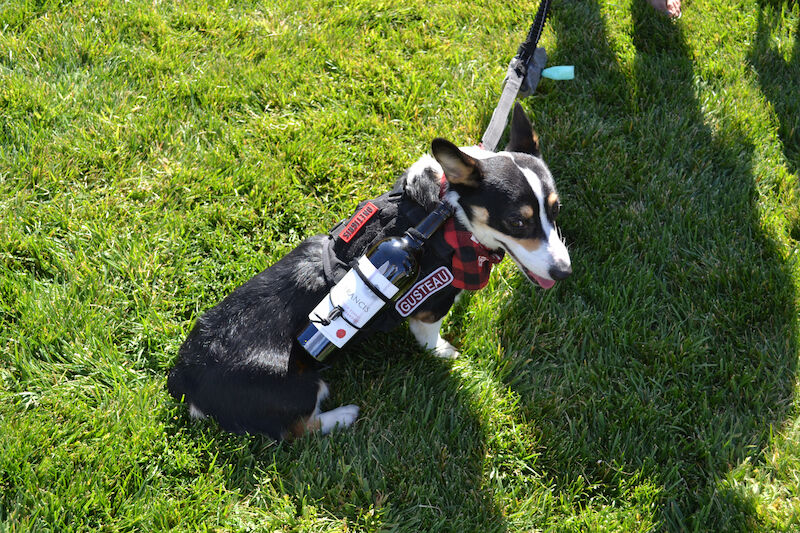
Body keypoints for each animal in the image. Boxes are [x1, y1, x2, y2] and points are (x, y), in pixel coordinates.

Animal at [167, 104, 568, 440]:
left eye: (556, 209)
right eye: (517, 222)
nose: (564, 271)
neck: (447, 214)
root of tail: (186, 381)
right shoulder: (428, 304)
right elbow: (430, 338)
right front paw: (446, 352)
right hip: (302, 387)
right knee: (299, 430)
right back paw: (344, 415)